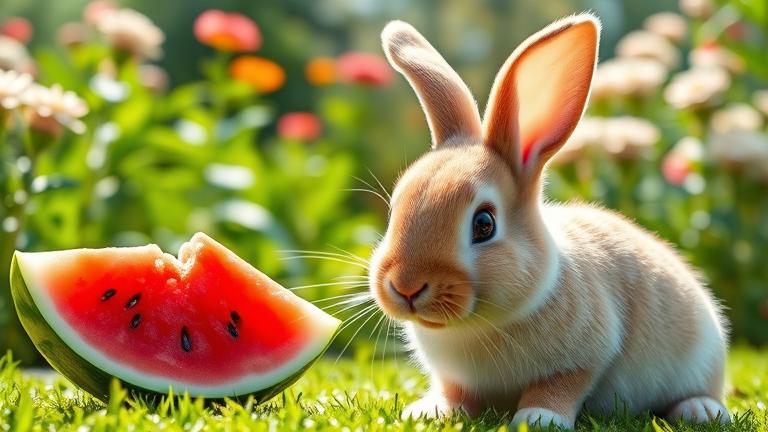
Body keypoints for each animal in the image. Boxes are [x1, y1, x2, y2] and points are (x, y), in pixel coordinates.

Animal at [367, 13, 730, 429]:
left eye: (484, 224)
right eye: (395, 208)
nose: (405, 286)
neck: (481, 324)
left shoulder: (585, 357)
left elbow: (559, 385)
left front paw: (538, 418)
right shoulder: (455, 378)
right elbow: (456, 392)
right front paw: (431, 411)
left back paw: (700, 409)